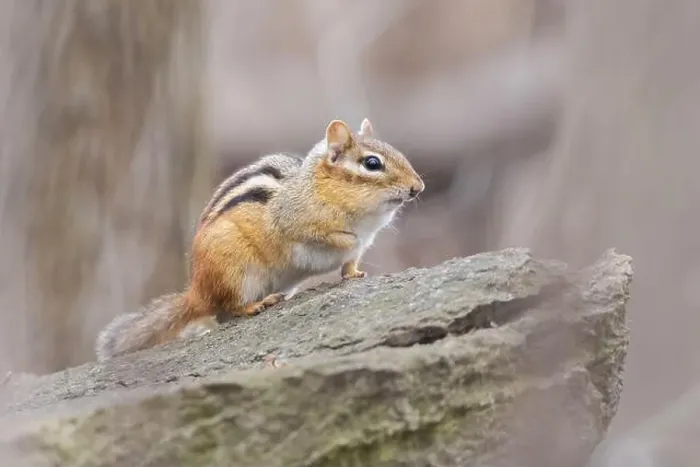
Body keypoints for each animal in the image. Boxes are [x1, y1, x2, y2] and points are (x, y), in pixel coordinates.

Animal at [95, 117, 425, 361]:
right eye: (372, 164)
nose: (418, 187)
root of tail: (196, 290)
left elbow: (350, 263)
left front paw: (354, 273)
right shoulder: (295, 223)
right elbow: (327, 238)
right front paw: (345, 238)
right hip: (236, 271)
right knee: (228, 307)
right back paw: (254, 306)